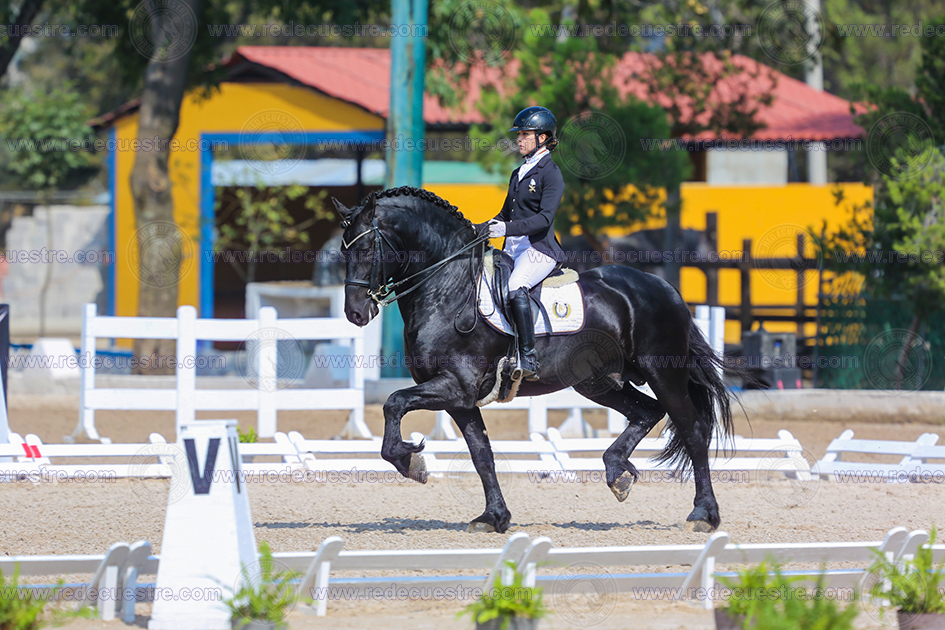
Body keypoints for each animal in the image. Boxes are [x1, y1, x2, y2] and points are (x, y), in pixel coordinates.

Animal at [336, 186, 732, 532]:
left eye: (367, 248)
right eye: (343, 250)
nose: (355, 313)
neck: (448, 287)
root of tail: (664, 287)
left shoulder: (456, 386)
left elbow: (393, 402)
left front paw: (411, 461)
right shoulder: (461, 399)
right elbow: (481, 453)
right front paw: (493, 517)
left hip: (663, 373)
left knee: (693, 431)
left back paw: (704, 514)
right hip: (597, 382)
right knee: (647, 412)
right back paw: (617, 473)